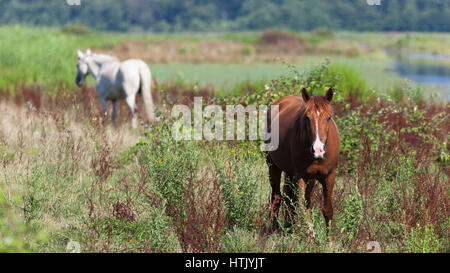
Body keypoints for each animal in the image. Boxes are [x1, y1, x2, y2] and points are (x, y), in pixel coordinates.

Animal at [266, 87, 340, 240]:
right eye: (307, 118)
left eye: (328, 117)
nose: (318, 150)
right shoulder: (301, 176)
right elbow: (300, 205)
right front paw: (310, 234)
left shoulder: (329, 176)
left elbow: (327, 209)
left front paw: (330, 240)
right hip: (273, 166)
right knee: (277, 198)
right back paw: (273, 230)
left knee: (291, 200)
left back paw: (289, 228)